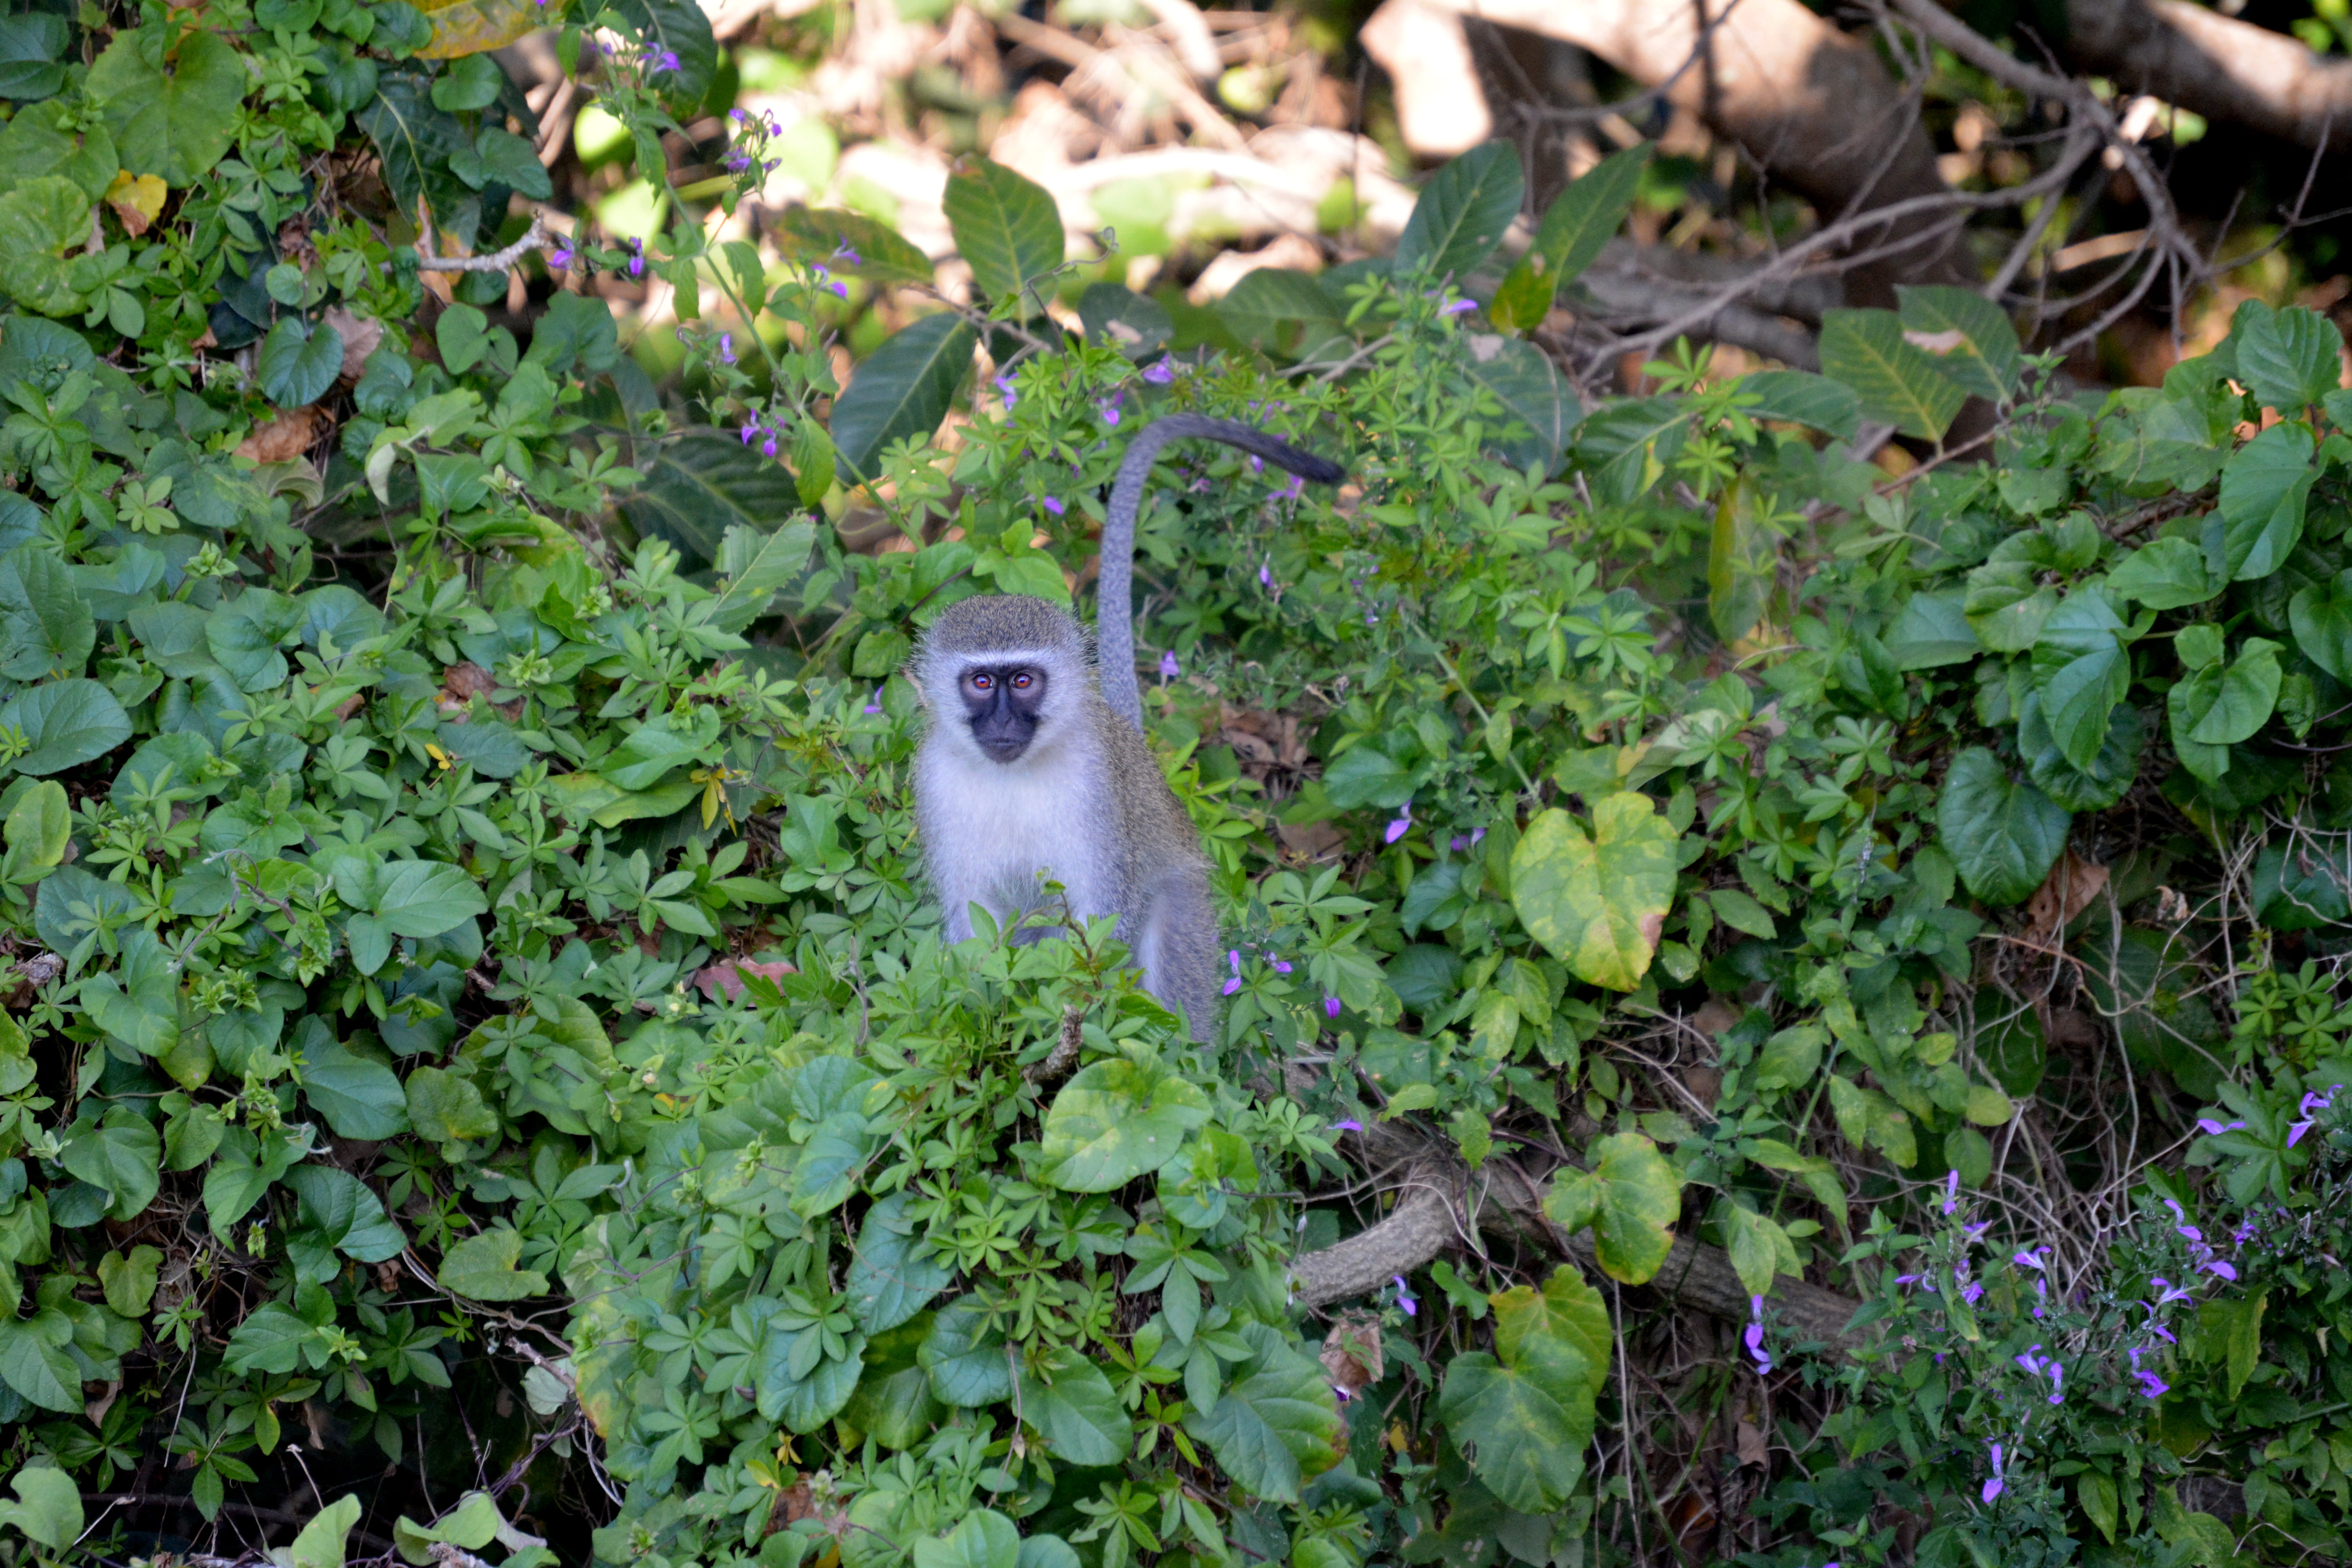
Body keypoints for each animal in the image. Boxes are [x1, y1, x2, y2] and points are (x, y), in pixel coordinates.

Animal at [910, 413, 1346, 1040]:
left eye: (1023, 682)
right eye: (983, 683)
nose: (1002, 722)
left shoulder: (1096, 785)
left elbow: (1103, 918)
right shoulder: (935, 782)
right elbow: (977, 928)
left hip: (1184, 900)